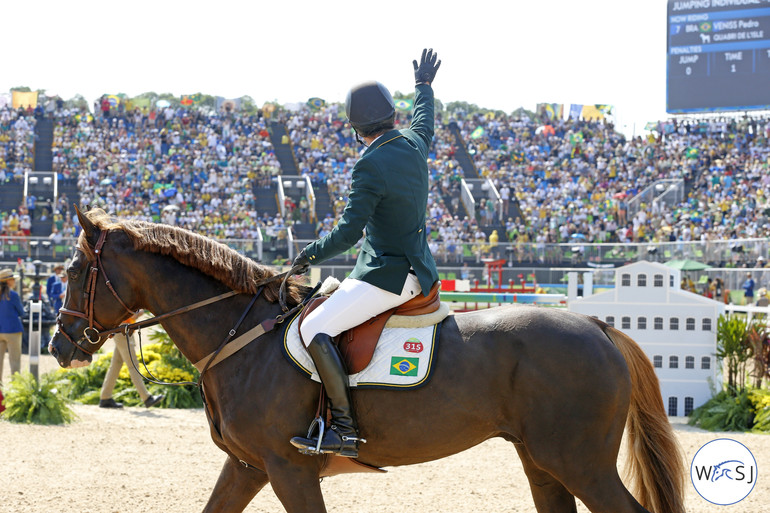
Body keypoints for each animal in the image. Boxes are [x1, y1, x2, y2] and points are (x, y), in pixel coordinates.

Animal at [49, 208, 684, 512]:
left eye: (75, 271)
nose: (59, 345)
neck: (242, 336)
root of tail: (599, 327)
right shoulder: (249, 466)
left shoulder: (289, 470)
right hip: (543, 464)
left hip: (582, 464)